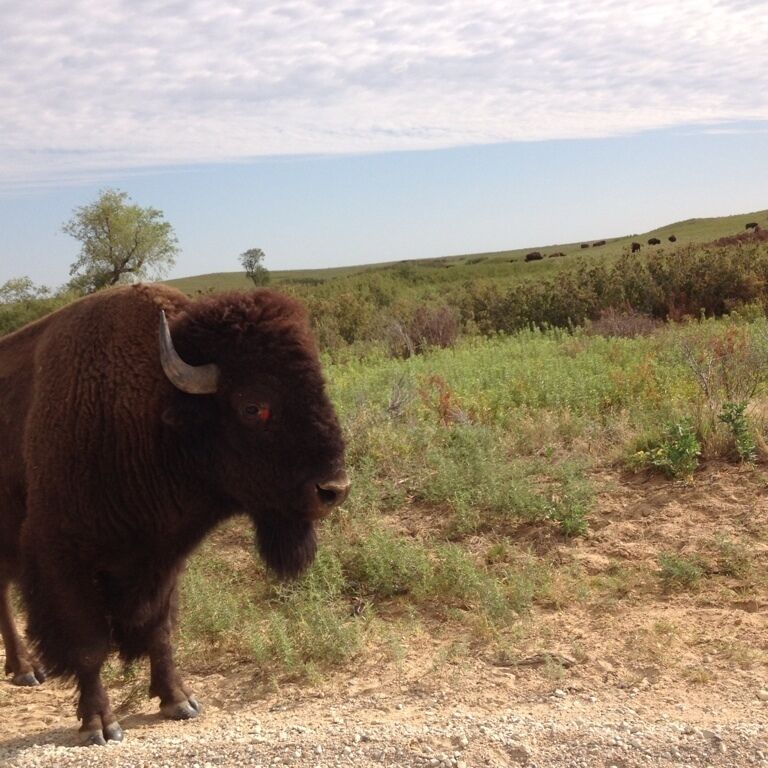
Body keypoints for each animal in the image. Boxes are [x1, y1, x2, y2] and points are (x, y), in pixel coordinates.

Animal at [0, 284, 349, 744]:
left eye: (320, 386)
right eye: (254, 406)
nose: (333, 490)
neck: (152, 409)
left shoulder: (162, 560)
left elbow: (159, 630)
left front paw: (179, 701)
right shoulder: (61, 559)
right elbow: (88, 645)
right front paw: (100, 725)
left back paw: (24, 669)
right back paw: (26, 670)